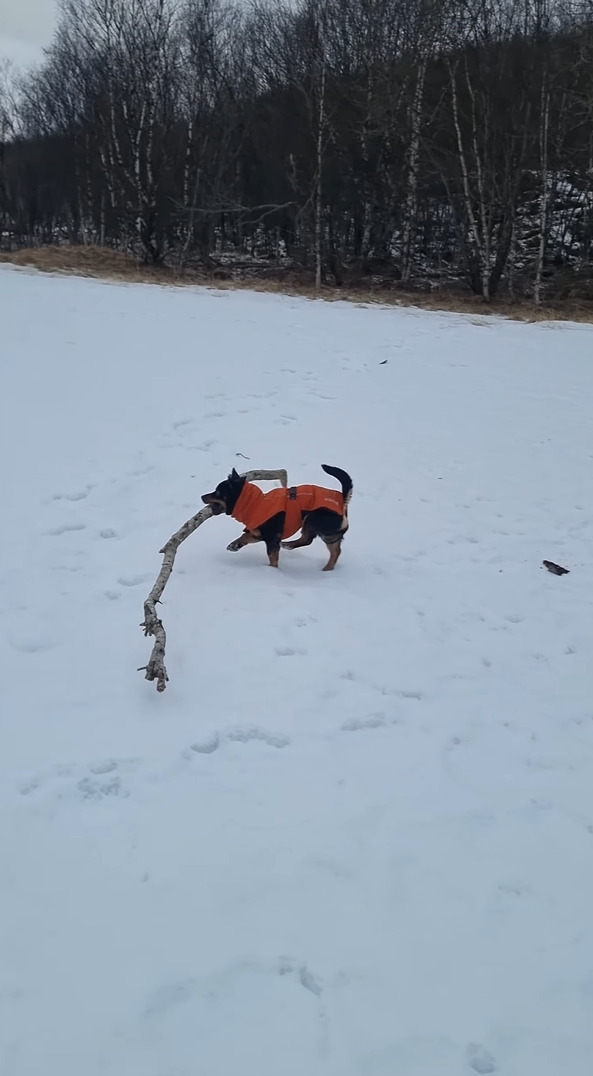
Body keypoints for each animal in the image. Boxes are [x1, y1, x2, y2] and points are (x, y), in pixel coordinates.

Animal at [202, 466, 355, 576]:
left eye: (217, 493)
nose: (202, 496)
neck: (255, 504)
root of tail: (342, 500)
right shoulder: (258, 534)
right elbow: (245, 536)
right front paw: (235, 545)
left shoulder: (271, 538)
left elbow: (272, 557)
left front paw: (272, 571)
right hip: (322, 529)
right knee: (325, 546)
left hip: (313, 520)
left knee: (319, 544)